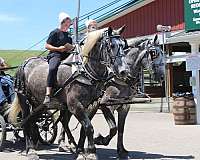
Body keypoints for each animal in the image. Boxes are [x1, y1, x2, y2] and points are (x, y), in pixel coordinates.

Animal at [8, 26, 129, 159]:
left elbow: (85, 129)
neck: (84, 71)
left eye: (124, 45)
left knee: (33, 121)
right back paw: (30, 150)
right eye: (111, 45)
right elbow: (88, 127)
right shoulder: (75, 105)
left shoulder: (92, 104)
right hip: (24, 99)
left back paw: (35, 145)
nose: (124, 71)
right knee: (26, 122)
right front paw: (90, 152)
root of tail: (24, 64)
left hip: (39, 104)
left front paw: (83, 150)